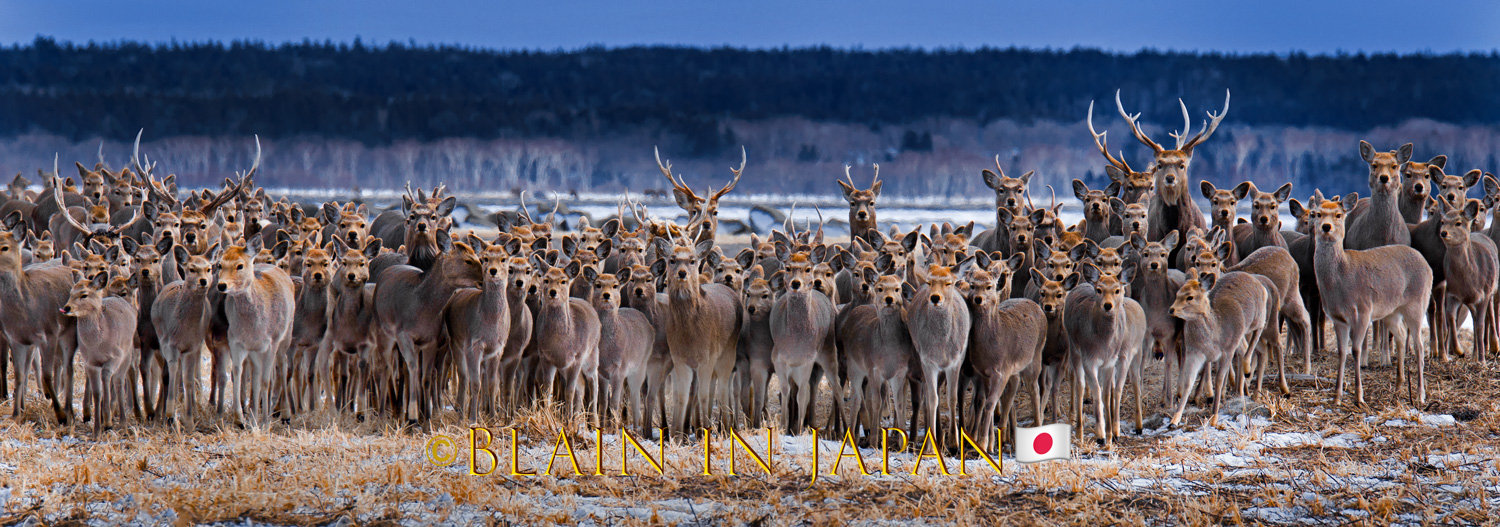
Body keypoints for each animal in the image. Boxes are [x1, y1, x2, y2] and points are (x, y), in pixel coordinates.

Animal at [61, 272, 138, 436]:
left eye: (84, 294)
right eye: (71, 292)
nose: (66, 308)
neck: (98, 343)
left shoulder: (114, 358)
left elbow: (107, 380)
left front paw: (107, 422)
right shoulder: (90, 363)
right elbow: (97, 392)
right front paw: (97, 430)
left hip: (127, 353)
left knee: (119, 381)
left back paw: (122, 423)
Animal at [1309, 194, 1432, 406]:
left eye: (1339, 214)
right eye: (1317, 213)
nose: (1326, 227)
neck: (1340, 281)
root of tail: (1428, 265)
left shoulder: (1363, 310)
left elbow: (1356, 350)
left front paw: (1359, 397)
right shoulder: (1337, 318)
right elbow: (1341, 353)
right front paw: (1337, 397)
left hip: (1417, 304)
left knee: (1419, 346)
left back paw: (1420, 395)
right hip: (1391, 311)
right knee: (1400, 335)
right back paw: (1398, 387)